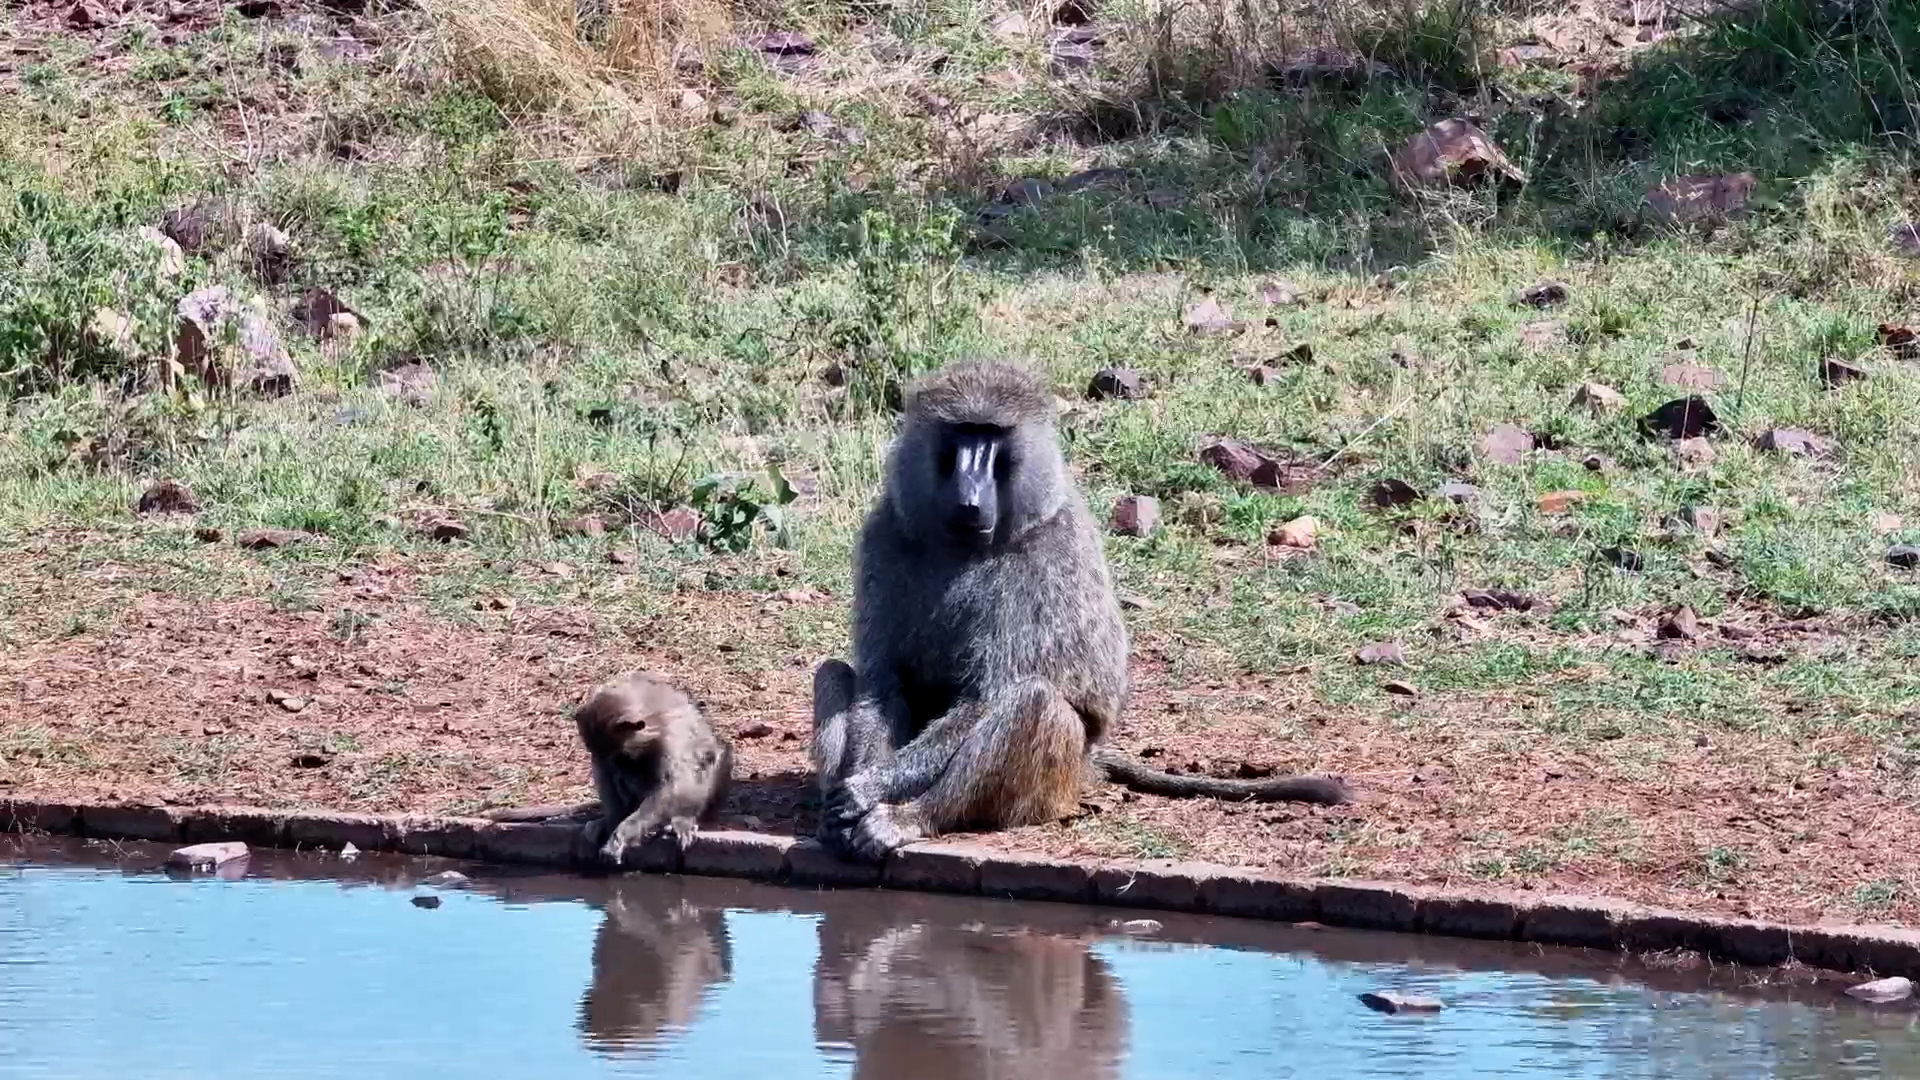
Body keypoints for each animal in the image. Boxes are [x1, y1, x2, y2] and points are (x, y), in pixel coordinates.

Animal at [488, 672, 733, 865]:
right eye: (612, 756)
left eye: (620, 754)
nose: (618, 765)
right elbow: (605, 773)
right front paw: (612, 824)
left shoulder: (670, 738)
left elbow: (672, 785)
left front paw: (621, 835)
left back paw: (682, 819)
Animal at [812, 360, 1348, 861]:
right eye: (960, 433)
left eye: (994, 437)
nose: (969, 496)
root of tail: (1088, 767)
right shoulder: (884, 532)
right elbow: (882, 682)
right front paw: (854, 789)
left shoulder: (1044, 561)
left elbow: (987, 696)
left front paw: (868, 791)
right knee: (833, 671)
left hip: (1055, 783)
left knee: (1034, 702)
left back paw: (909, 818)